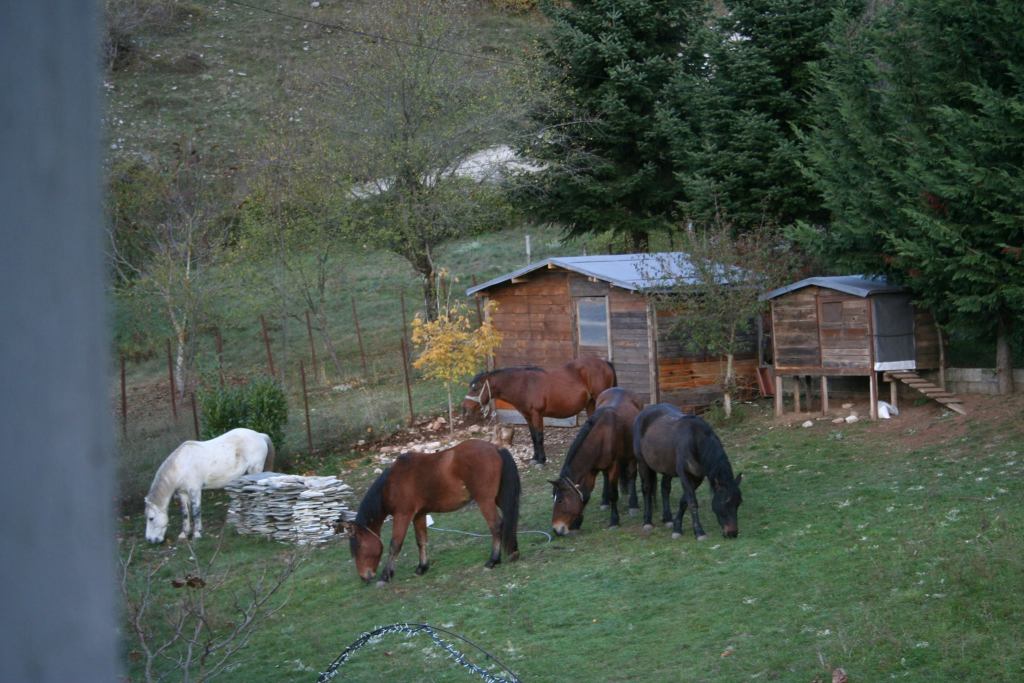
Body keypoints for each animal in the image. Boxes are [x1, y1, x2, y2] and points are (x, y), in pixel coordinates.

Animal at [144, 428, 275, 543]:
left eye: (151, 518)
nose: (150, 540)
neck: (181, 466)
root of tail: (259, 435)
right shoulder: (182, 493)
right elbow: (185, 514)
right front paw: (184, 534)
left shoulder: (195, 490)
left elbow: (196, 512)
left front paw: (197, 534)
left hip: (255, 470)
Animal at [344, 439, 520, 585]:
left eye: (358, 547)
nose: (364, 577)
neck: (391, 484)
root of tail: (496, 448)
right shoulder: (419, 515)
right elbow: (421, 541)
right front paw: (422, 567)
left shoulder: (403, 515)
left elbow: (395, 544)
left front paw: (386, 575)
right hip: (499, 498)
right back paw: (513, 551)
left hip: (485, 500)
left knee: (496, 526)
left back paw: (493, 560)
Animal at [461, 356, 617, 466]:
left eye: (476, 388)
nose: (465, 408)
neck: (524, 384)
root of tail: (605, 363)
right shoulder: (528, 416)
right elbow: (533, 437)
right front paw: (535, 458)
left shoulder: (537, 415)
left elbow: (539, 436)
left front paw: (541, 460)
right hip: (590, 404)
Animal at [550, 387, 643, 535]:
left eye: (560, 500)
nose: (556, 529)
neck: (602, 435)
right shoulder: (591, 469)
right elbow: (586, 494)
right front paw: (576, 523)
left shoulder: (614, 466)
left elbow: (613, 493)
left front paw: (614, 521)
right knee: (605, 477)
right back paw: (604, 502)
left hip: (631, 455)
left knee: (631, 475)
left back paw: (633, 504)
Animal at [633, 404, 743, 539]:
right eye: (725, 502)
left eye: (738, 503)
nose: (732, 533)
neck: (695, 440)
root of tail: (644, 411)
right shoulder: (685, 475)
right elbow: (692, 502)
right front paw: (699, 532)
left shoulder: (697, 478)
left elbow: (684, 501)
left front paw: (677, 528)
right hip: (642, 463)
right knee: (647, 489)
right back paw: (647, 521)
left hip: (667, 468)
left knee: (665, 488)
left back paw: (667, 519)